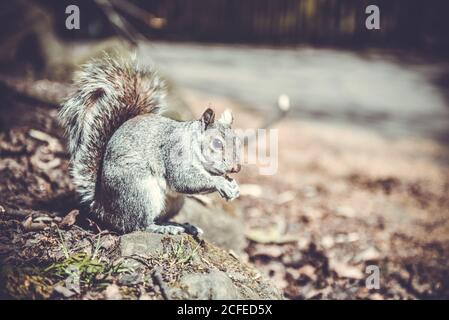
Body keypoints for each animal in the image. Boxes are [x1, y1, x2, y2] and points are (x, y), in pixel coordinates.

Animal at [60, 55, 242, 235]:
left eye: (238, 141)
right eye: (217, 143)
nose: (236, 168)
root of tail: (104, 207)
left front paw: (233, 185)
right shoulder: (175, 153)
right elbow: (184, 179)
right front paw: (221, 183)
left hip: (173, 203)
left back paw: (182, 226)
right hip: (141, 193)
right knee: (137, 224)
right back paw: (162, 228)